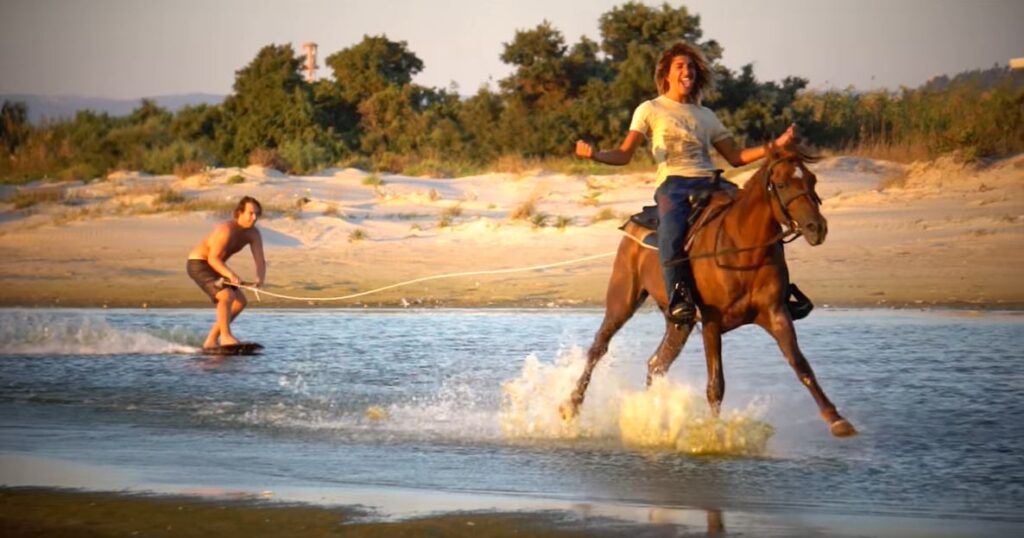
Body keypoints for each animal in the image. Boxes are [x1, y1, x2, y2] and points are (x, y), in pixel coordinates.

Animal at [561, 145, 856, 436]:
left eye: (812, 180)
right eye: (782, 184)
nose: (817, 228)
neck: (742, 249)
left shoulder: (776, 313)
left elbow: (801, 365)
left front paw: (836, 419)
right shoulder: (712, 322)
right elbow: (716, 385)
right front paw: (713, 435)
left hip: (680, 323)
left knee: (656, 364)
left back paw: (649, 417)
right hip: (623, 299)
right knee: (598, 348)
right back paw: (571, 406)